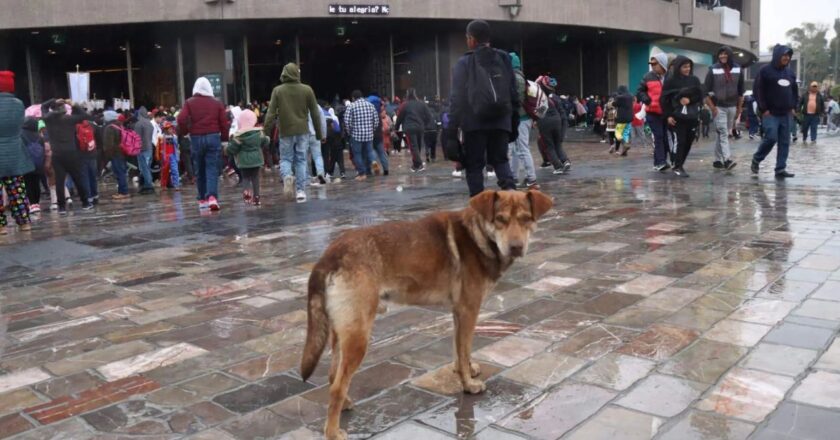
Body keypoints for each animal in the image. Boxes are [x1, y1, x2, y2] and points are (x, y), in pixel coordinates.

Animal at [300, 189, 552, 440]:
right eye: (500, 219)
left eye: (526, 219)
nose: (516, 247)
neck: (478, 235)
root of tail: (328, 256)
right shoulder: (469, 310)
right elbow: (465, 349)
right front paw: (468, 385)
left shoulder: (458, 312)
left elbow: (459, 350)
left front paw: (464, 369)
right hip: (359, 336)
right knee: (337, 387)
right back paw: (333, 432)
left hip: (342, 332)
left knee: (333, 376)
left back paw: (344, 405)